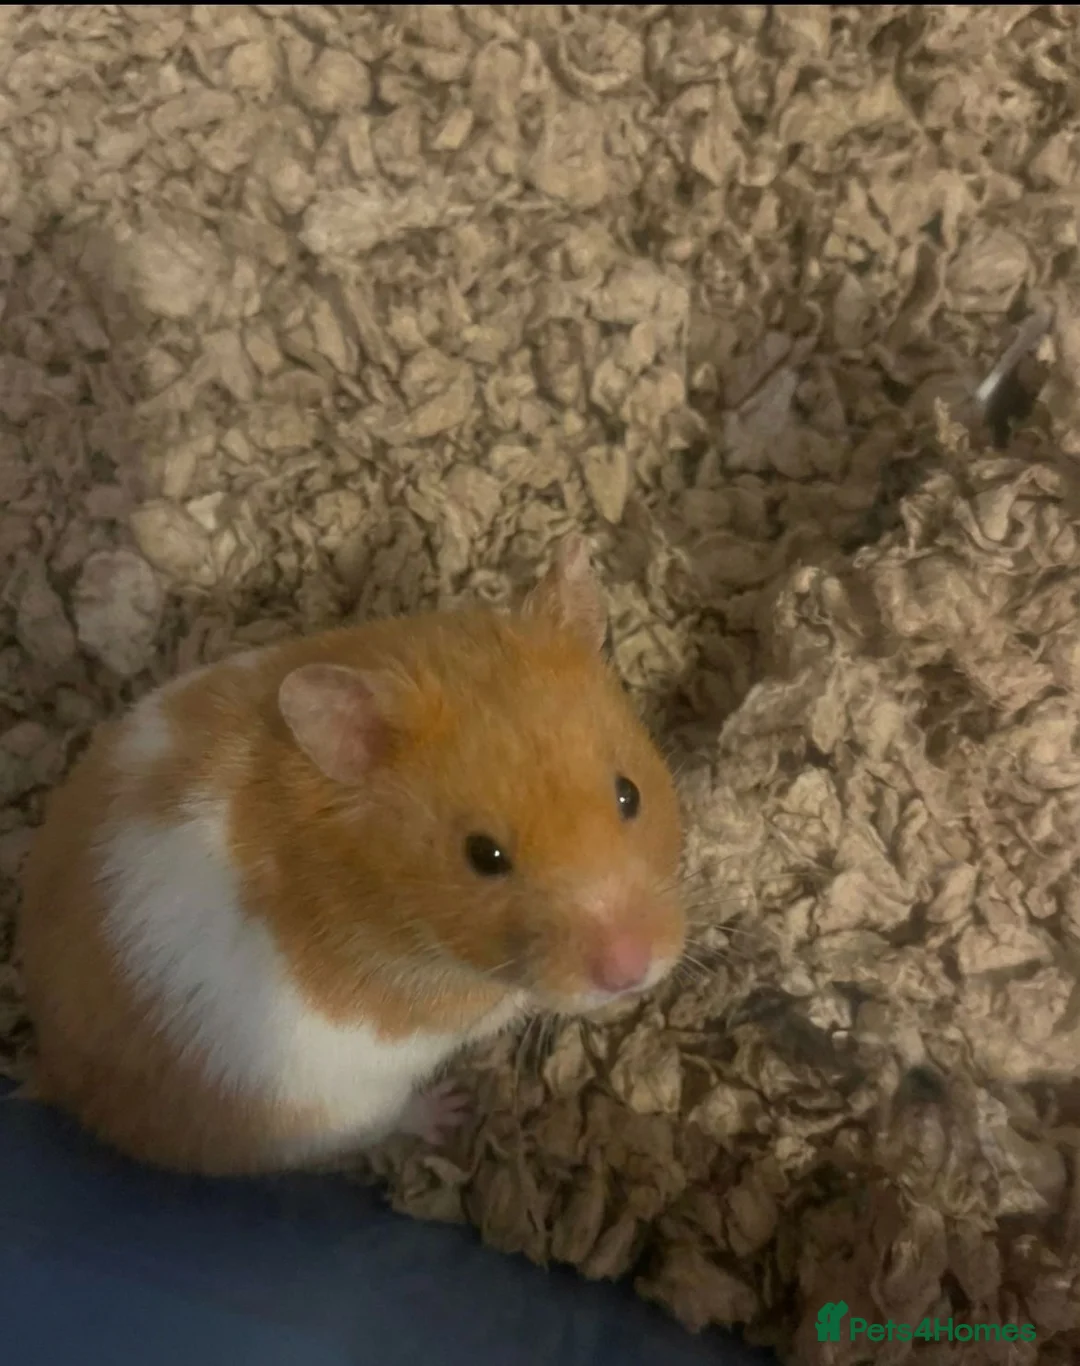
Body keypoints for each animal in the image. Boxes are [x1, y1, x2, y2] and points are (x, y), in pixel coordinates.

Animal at [17, 538, 685, 1175]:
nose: (632, 969)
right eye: (484, 855)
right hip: (346, 1110)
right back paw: (446, 1110)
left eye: (629, 794)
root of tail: (56, 1074)